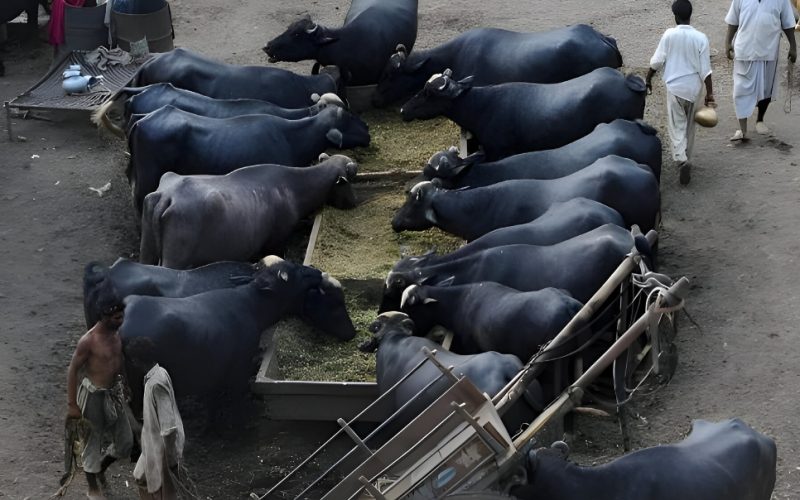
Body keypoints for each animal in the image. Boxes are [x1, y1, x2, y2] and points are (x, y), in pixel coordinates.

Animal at [139, 154, 359, 269]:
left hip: (147, 249)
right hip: (175, 259)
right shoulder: (277, 240)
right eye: (350, 180)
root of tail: (167, 195)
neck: (293, 188)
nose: (353, 203)